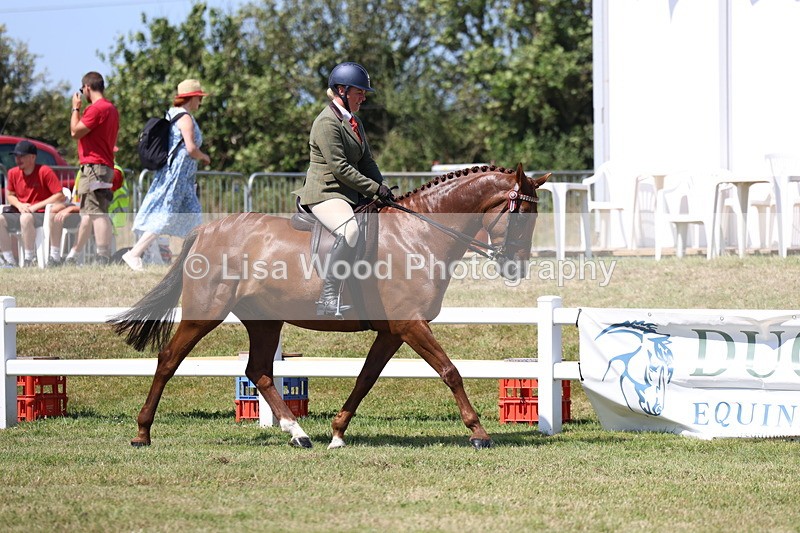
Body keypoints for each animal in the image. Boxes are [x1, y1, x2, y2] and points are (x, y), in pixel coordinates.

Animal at [111, 164, 549, 449]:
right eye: (520, 217)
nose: (516, 267)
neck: (420, 233)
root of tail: (206, 229)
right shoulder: (410, 324)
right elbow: (450, 371)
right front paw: (479, 433)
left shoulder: (393, 331)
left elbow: (366, 378)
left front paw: (337, 432)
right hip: (206, 312)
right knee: (169, 359)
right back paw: (142, 433)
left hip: (265, 321)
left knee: (259, 371)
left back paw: (298, 433)